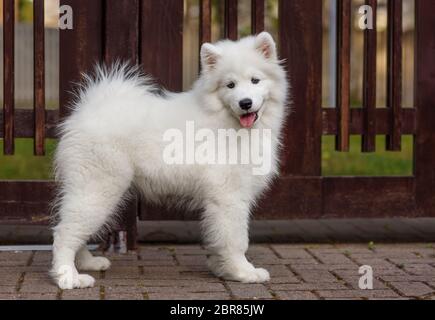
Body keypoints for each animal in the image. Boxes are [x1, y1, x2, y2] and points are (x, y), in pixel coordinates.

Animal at [50, 32, 290, 290]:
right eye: (230, 85)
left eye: (255, 80)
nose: (245, 103)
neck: (226, 121)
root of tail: (86, 111)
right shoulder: (230, 197)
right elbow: (236, 240)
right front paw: (243, 272)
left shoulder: (220, 201)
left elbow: (219, 238)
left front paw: (221, 268)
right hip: (97, 188)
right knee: (64, 233)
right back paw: (69, 277)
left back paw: (87, 263)